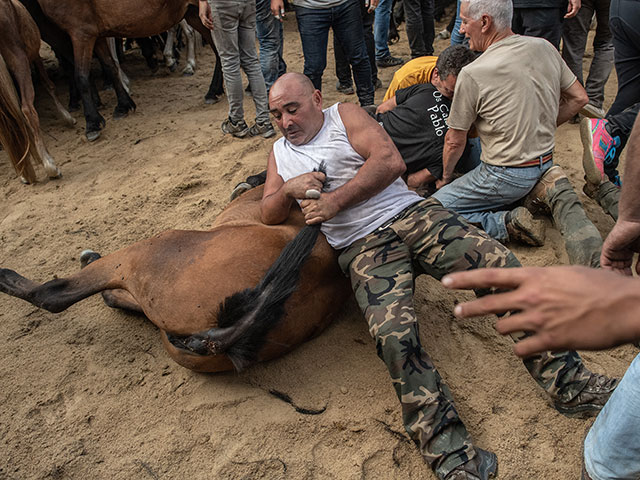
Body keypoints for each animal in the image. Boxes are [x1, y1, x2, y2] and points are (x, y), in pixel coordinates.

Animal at [0, 0, 75, 183]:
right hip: (19, 60)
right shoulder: (34, 56)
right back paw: (50, 166)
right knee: (27, 109)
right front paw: (67, 117)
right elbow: (48, 84)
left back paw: (25, 174)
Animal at [35, 0, 225, 142]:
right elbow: (110, 65)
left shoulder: (81, 32)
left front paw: (92, 123)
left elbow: (81, 76)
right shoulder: (97, 34)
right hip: (195, 13)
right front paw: (124, 105)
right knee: (218, 52)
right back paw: (213, 91)